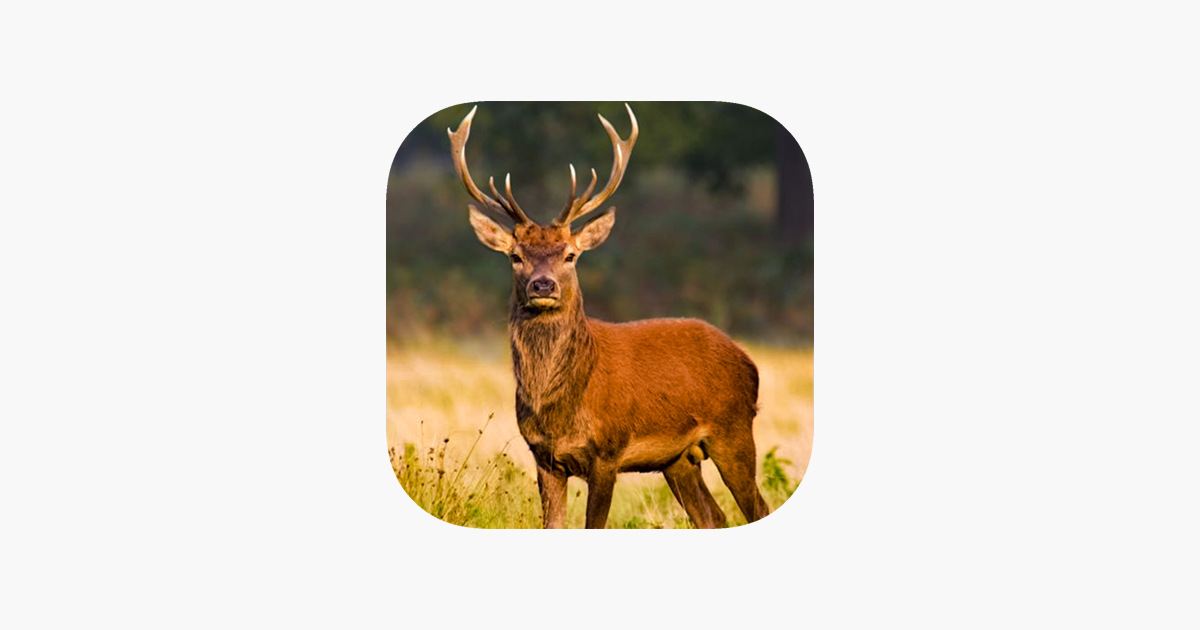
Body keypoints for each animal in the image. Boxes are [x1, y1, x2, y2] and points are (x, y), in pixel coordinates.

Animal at [447, 103, 770, 528]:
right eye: (515, 256)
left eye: (570, 254)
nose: (543, 285)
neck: (561, 409)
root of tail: (748, 361)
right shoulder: (544, 457)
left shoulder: (607, 453)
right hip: (679, 459)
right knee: (713, 517)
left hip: (733, 430)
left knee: (758, 506)